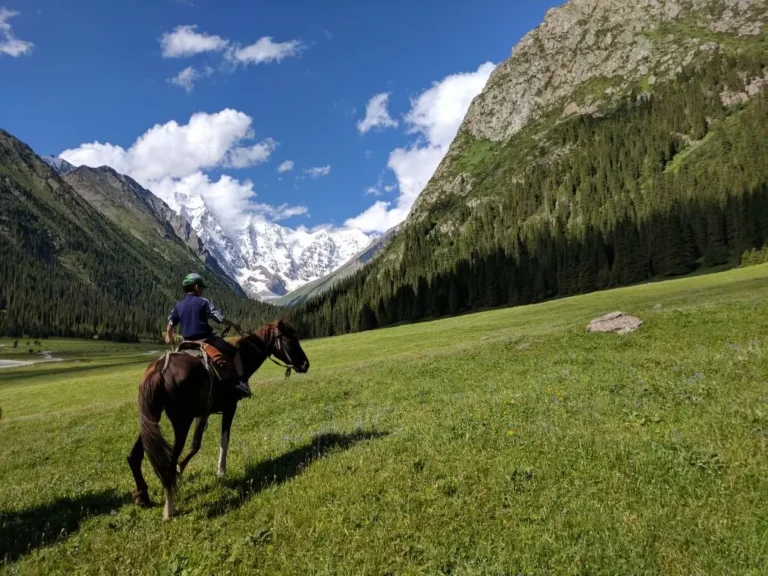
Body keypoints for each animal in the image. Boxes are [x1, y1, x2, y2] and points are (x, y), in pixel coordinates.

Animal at [127, 322, 308, 520]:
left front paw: (181, 470)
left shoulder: (203, 413)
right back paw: (169, 509)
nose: (305, 364)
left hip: (152, 419)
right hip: (181, 422)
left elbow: (195, 445)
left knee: (134, 456)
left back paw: (143, 496)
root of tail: (159, 370)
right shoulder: (229, 407)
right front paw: (220, 471)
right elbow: (224, 440)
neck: (242, 356)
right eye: (291, 339)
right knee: (166, 465)